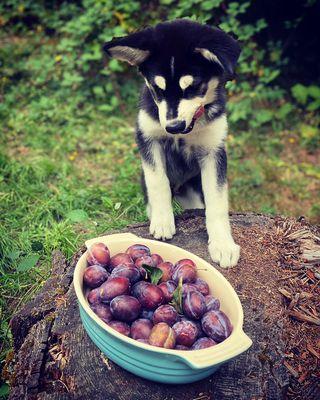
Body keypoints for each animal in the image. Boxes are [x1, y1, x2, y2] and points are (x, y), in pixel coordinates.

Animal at [104, 19, 241, 268]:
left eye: (193, 87)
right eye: (157, 89)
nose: (173, 127)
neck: (186, 132)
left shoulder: (214, 151)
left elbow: (217, 200)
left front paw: (223, 244)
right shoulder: (148, 138)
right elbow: (157, 181)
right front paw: (162, 220)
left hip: (193, 193)